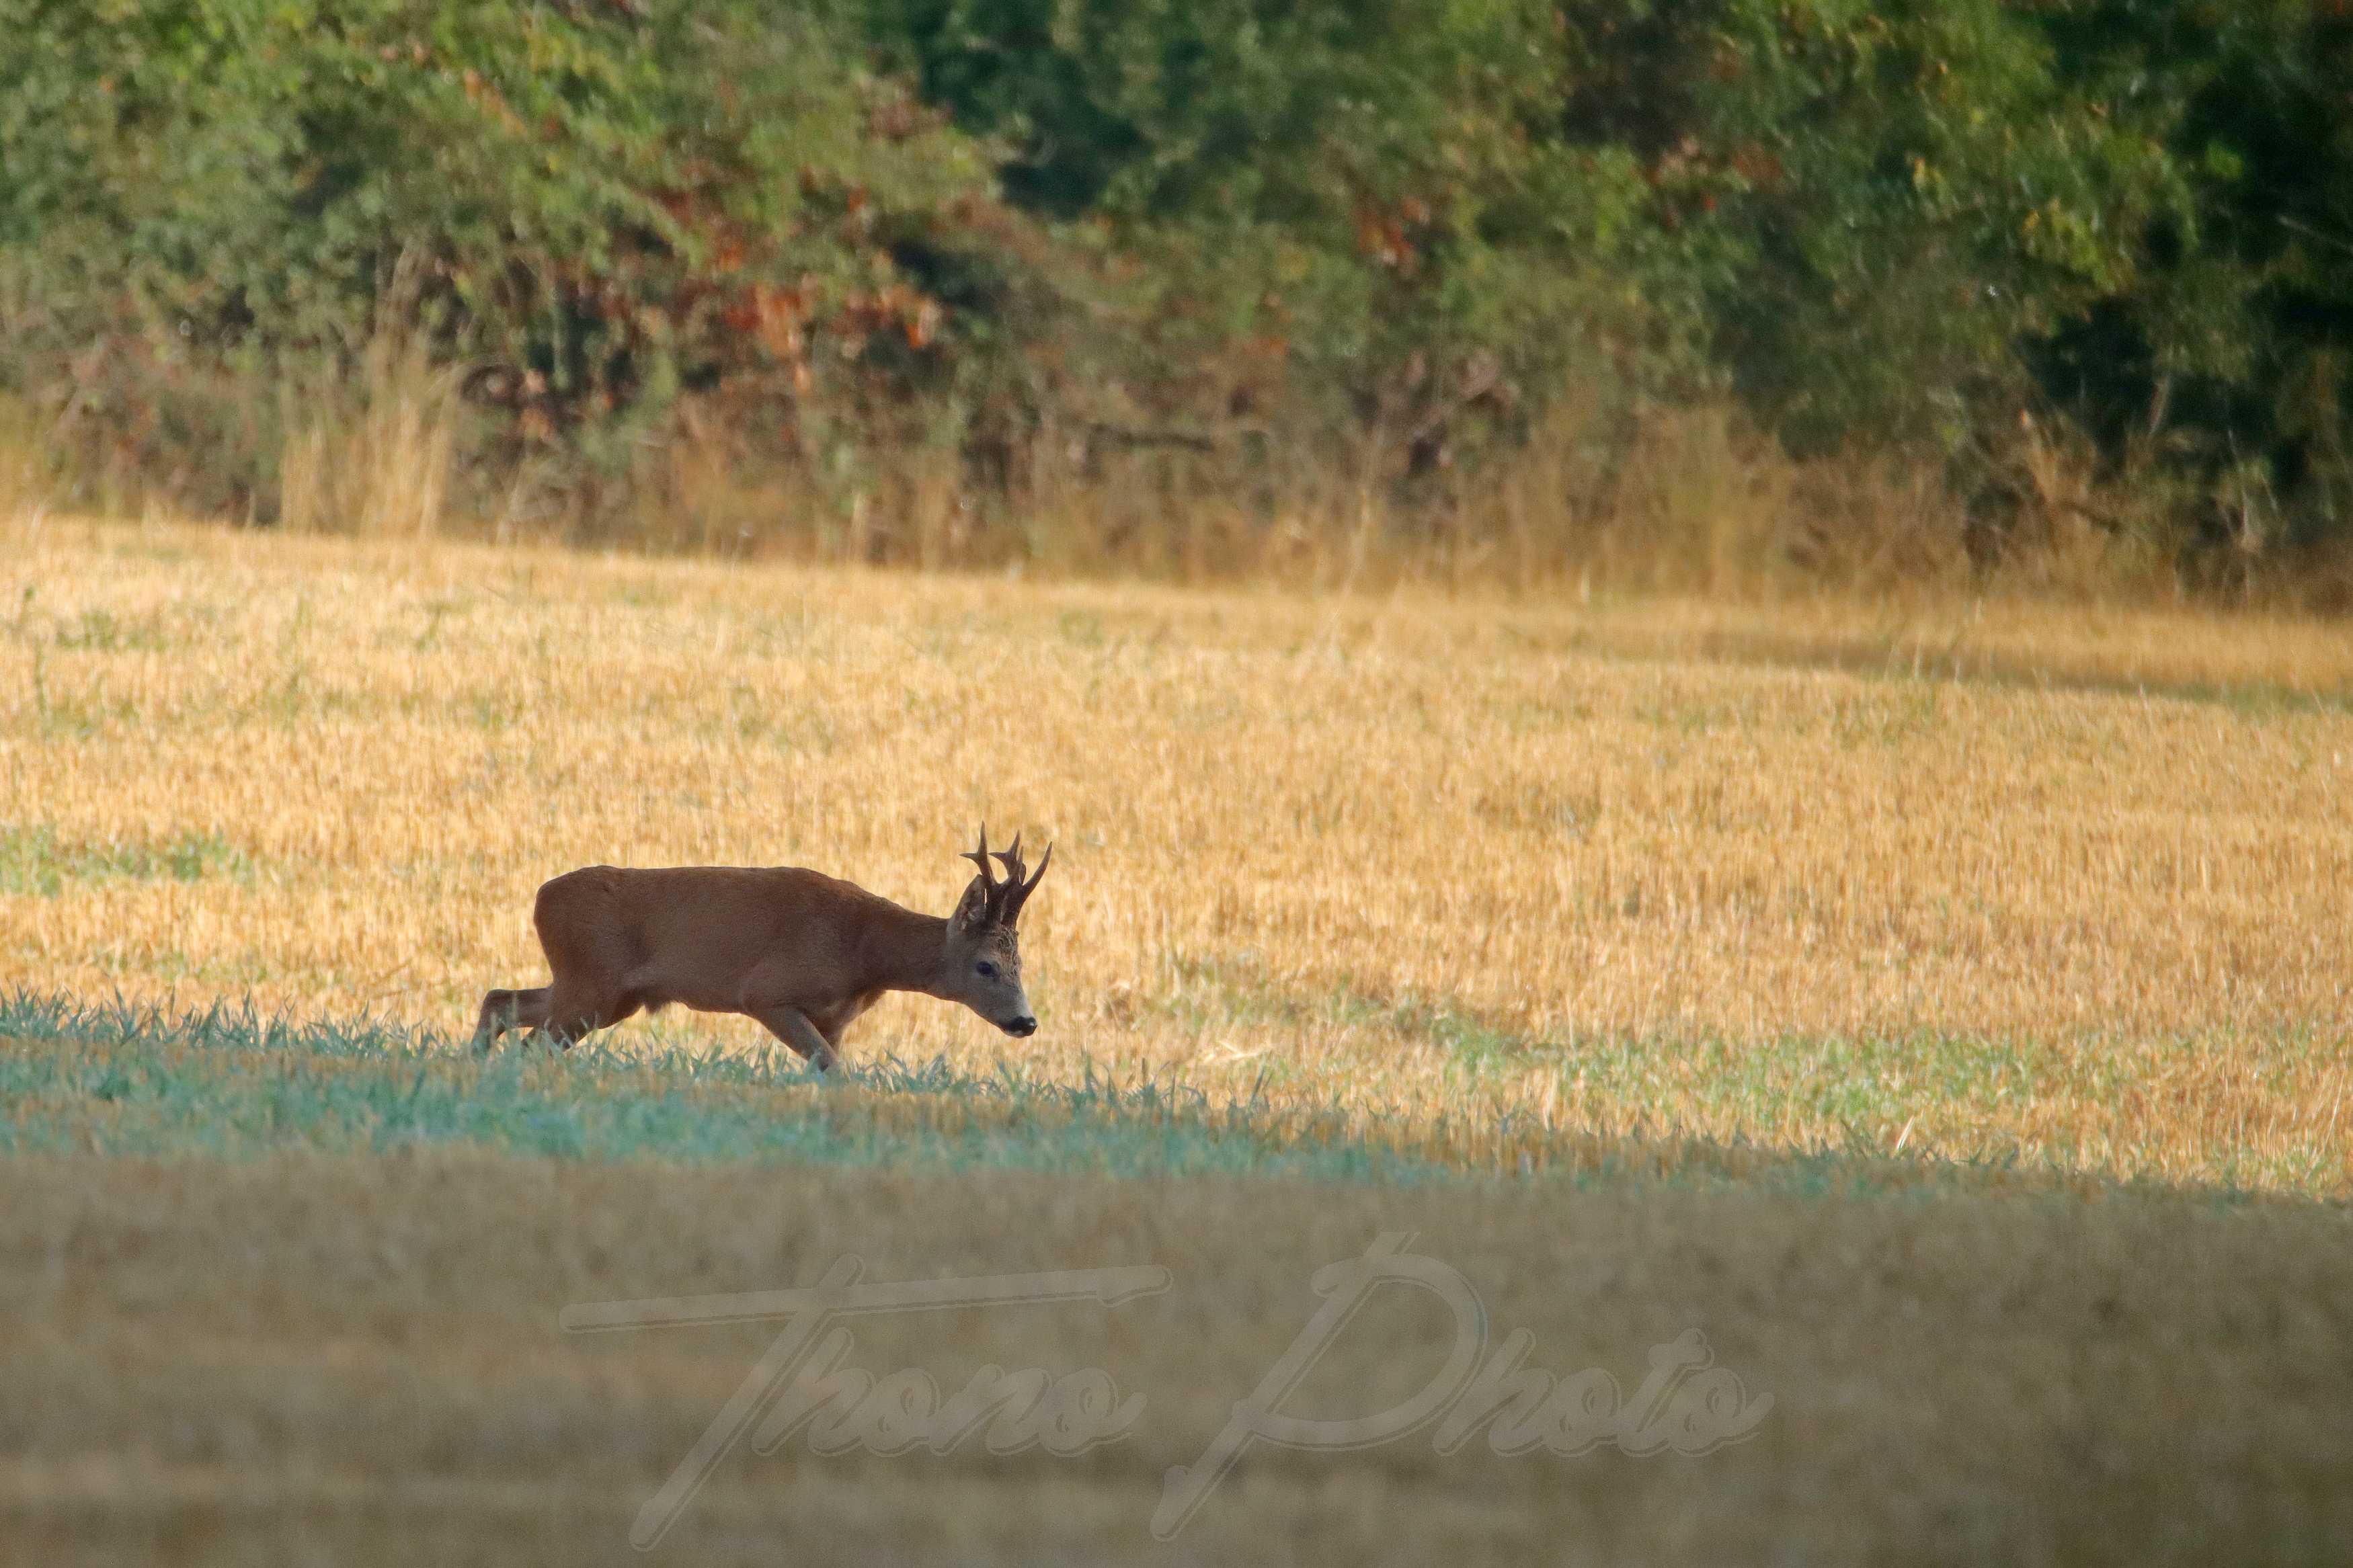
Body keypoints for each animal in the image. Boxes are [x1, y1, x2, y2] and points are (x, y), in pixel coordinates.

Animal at [473, 823, 1054, 1067]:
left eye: (1022, 963)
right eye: (986, 966)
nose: (1026, 1021)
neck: (864, 951)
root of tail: (541, 896)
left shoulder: (835, 1020)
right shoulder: (768, 993)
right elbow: (833, 1069)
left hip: (606, 994)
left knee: (501, 1000)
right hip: (591, 983)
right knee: (529, 1038)